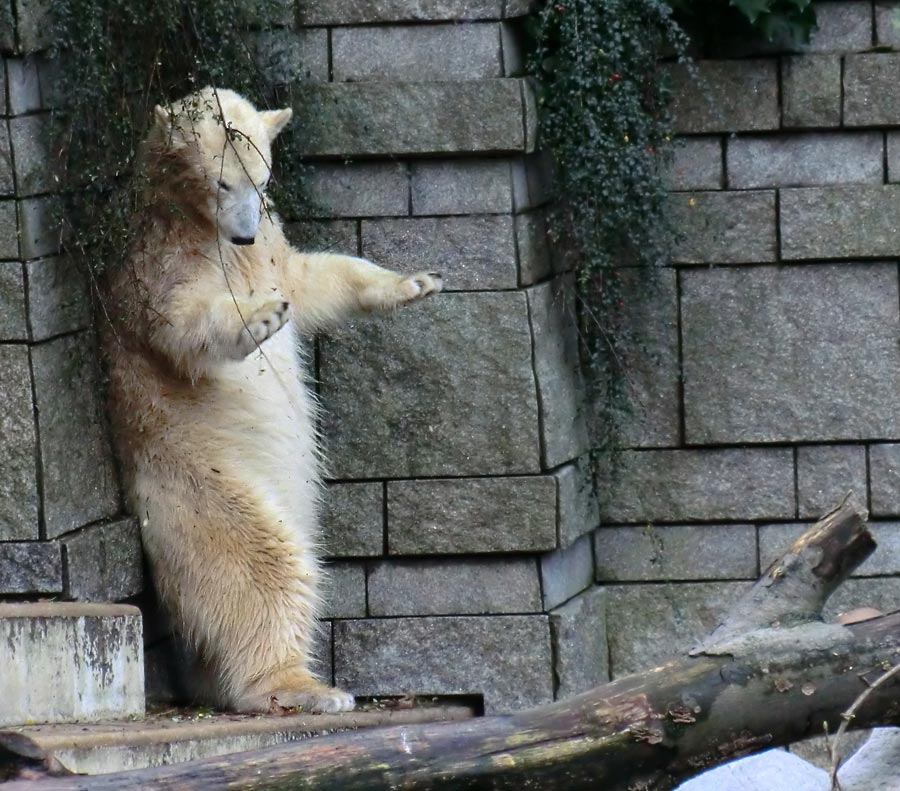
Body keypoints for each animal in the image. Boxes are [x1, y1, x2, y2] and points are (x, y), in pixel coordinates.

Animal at [102, 88, 442, 716]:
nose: (244, 236)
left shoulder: (271, 248)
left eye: (260, 180)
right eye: (221, 182)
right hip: (201, 482)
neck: (201, 227)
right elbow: (184, 324)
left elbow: (313, 279)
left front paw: (413, 282)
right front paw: (258, 316)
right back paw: (303, 688)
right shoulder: (159, 265)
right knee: (263, 565)